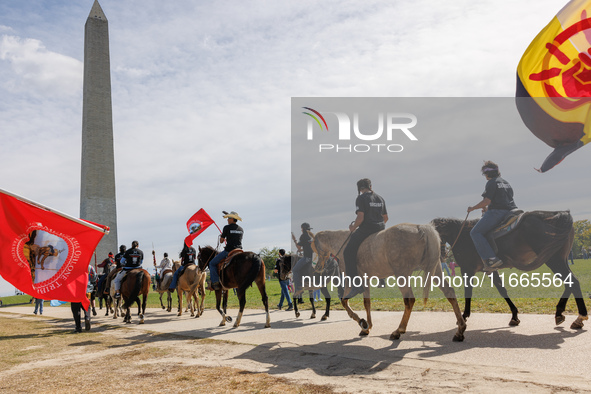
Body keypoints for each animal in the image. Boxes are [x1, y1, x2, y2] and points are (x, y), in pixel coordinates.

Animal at [314, 225, 468, 342]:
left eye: (314, 247)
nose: (318, 267)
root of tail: (420, 228)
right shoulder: (365, 280)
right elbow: (366, 303)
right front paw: (367, 327)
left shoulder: (350, 280)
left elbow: (345, 302)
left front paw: (362, 322)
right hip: (434, 270)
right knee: (449, 292)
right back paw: (460, 329)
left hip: (402, 274)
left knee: (409, 300)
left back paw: (398, 330)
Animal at [432, 212, 588, 330]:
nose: (440, 257)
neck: (462, 234)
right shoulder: (490, 270)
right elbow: (502, 290)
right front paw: (514, 316)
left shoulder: (467, 270)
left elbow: (468, 293)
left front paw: (463, 316)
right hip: (560, 259)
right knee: (570, 284)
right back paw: (561, 313)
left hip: (554, 260)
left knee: (573, 282)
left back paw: (579, 317)